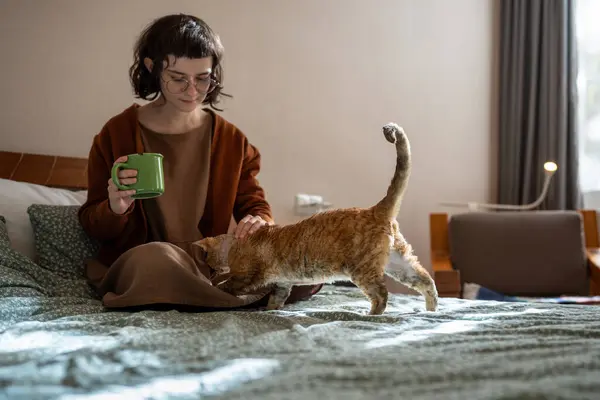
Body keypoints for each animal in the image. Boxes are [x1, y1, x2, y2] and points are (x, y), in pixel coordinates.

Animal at [199, 123, 438, 314]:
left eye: (208, 261)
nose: (210, 272)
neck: (236, 243)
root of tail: (375, 209)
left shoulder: (247, 276)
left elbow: (228, 286)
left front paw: (215, 288)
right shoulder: (282, 283)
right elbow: (276, 300)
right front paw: (269, 311)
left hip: (362, 269)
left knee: (381, 294)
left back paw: (372, 315)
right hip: (399, 264)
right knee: (426, 281)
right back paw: (430, 310)